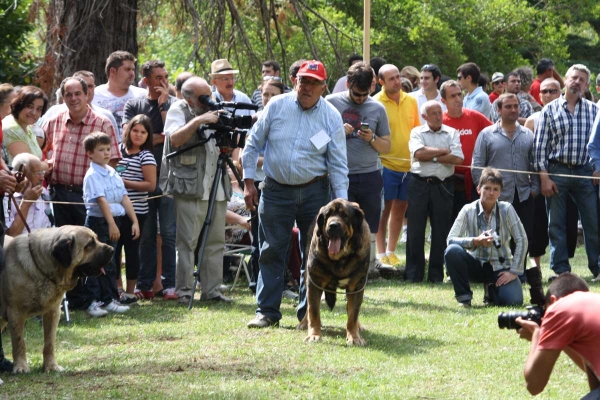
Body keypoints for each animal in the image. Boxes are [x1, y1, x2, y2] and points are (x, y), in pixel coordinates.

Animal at [0, 227, 113, 374]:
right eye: (90, 244)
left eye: (97, 239)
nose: (112, 250)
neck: (41, 267)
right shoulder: (16, 312)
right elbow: (19, 342)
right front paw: (21, 367)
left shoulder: (53, 312)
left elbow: (49, 342)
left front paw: (51, 366)